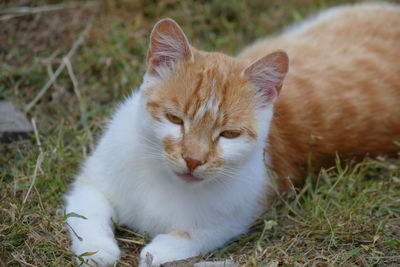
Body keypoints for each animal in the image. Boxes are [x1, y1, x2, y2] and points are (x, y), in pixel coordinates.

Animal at [65, 2, 400, 267]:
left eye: (229, 134)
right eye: (174, 119)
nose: (192, 159)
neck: (166, 180)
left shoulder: (240, 211)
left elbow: (193, 236)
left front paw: (160, 250)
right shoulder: (93, 182)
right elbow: (86, 214)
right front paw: (97, 250)